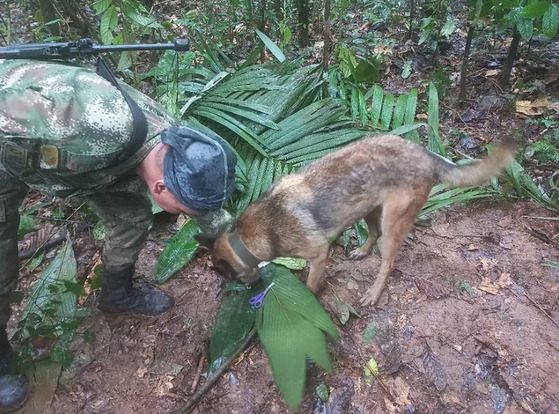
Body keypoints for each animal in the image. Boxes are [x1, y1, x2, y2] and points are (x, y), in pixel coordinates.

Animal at [202, 134, 516, 306]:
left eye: (228, 276)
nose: (246, 290)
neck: (249, 236)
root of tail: (425, 153)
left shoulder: (319, 253)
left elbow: (311, 284)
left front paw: (307, 299)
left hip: (392, 223)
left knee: (387, 262)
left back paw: (374, 293)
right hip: (368, 209)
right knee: (373, 234)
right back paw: (362, 252)